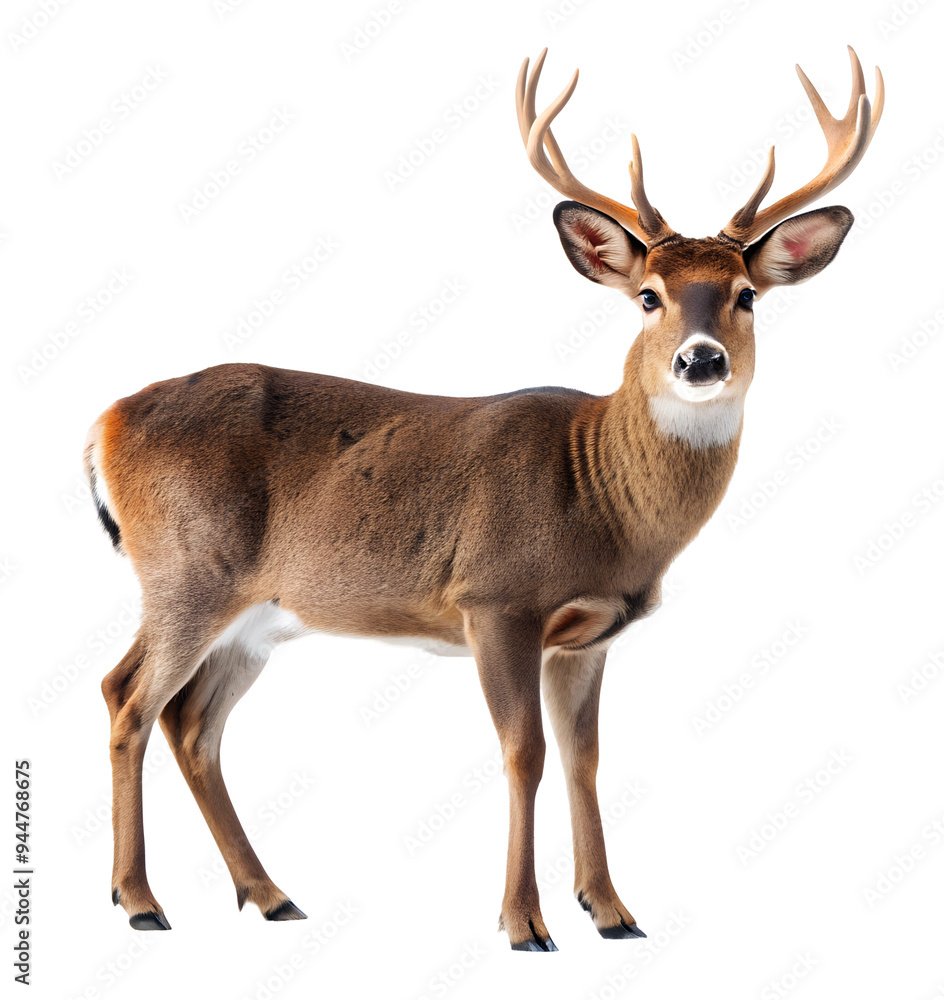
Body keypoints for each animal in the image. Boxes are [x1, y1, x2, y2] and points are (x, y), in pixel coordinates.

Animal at [87, 46, 883, 951]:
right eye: (648, 294)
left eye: (746, 294)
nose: (701, 360)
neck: (598, 494)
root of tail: (104, 423)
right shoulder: (495, 598)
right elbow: (522, 753)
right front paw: (524, 921)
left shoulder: (586, 635)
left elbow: (583, 758)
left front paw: (612, 911)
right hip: (186, 571)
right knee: (127, 697)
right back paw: (140, 901)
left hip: (255, 614)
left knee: (192, 724)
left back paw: (270, 894)